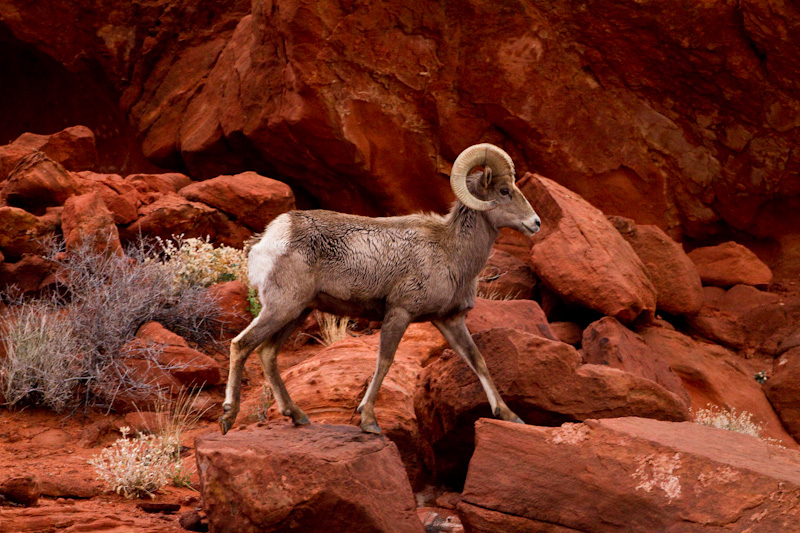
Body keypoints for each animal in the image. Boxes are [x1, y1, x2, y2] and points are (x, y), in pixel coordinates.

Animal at [222, 143, 540, 434]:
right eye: (504, 191)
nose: (535, 223)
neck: (451, 250)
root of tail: (269, 239)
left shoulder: (449, 320)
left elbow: (478, 360)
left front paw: (510, 415)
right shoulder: (400, 311)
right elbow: (384, 361)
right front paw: (368, 421)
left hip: (297, 312)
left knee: (267, 353)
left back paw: (297, 415)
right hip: (282, 307)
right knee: (241, 345)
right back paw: (228, 417)